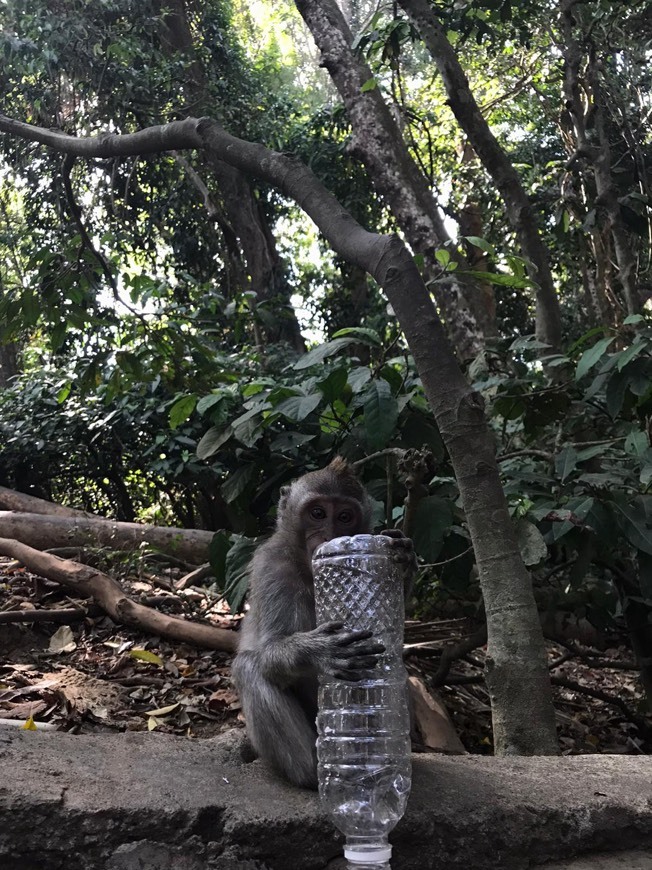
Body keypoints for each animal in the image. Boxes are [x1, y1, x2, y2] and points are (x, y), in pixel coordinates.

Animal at [230, 460, 412, 792]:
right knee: (249, 666)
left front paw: (404, 557)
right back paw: (317, 774)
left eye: (344, 516)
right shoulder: (271, 567)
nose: (328, 535)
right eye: (317, 513)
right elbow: (271, 649)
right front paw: (318, 651)